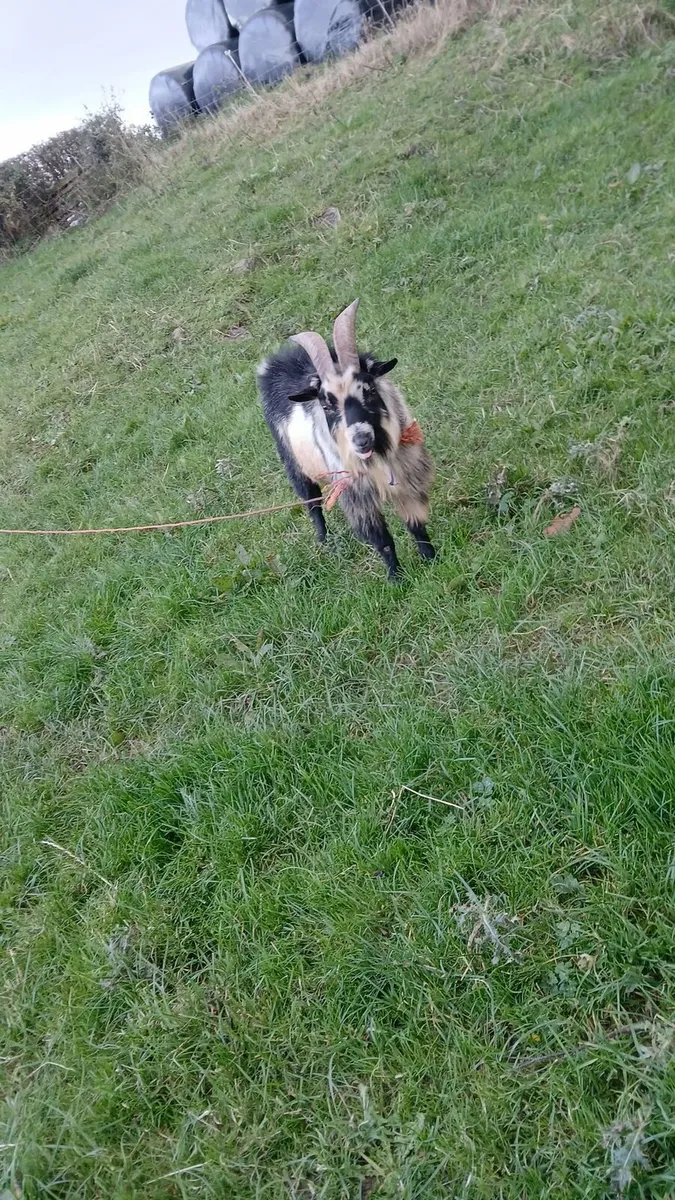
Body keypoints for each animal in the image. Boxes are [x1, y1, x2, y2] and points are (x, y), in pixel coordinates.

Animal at [257, 299, 435, 579]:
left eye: (369, 389)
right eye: (326, 404)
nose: (361, 440)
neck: (377, 457)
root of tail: (278, 361)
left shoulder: (408, 475)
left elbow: (416, 521)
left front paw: (431, 559)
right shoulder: (356, 493)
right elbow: (382, 539)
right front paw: (396, 578)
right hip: (294, 465)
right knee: (312, 504)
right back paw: (323, 541)